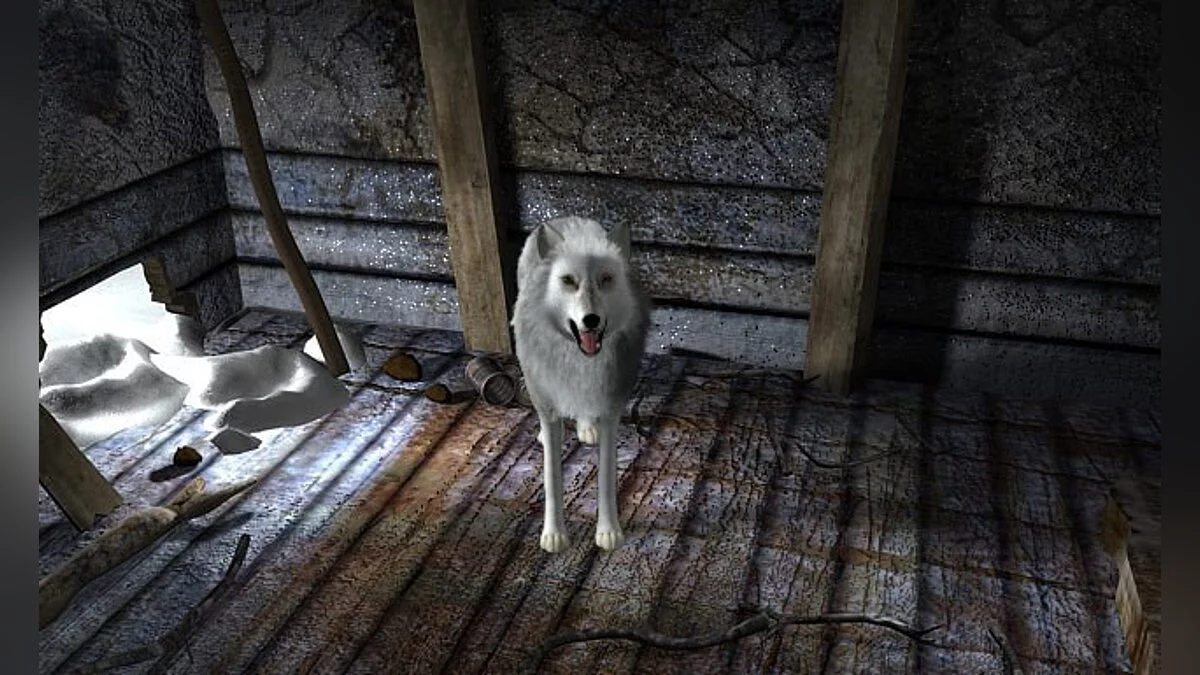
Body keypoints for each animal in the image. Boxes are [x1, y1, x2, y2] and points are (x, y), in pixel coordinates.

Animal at [512, 216, 651, 553]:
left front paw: (608, 532)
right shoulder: (550, 410)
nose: (591, 320)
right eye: (568, 281)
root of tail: (566, 219)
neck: (581, 361)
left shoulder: (612, 411)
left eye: (606, 279)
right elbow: (552, 480)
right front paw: (554, 535)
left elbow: (607, 479)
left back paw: (587, 428)